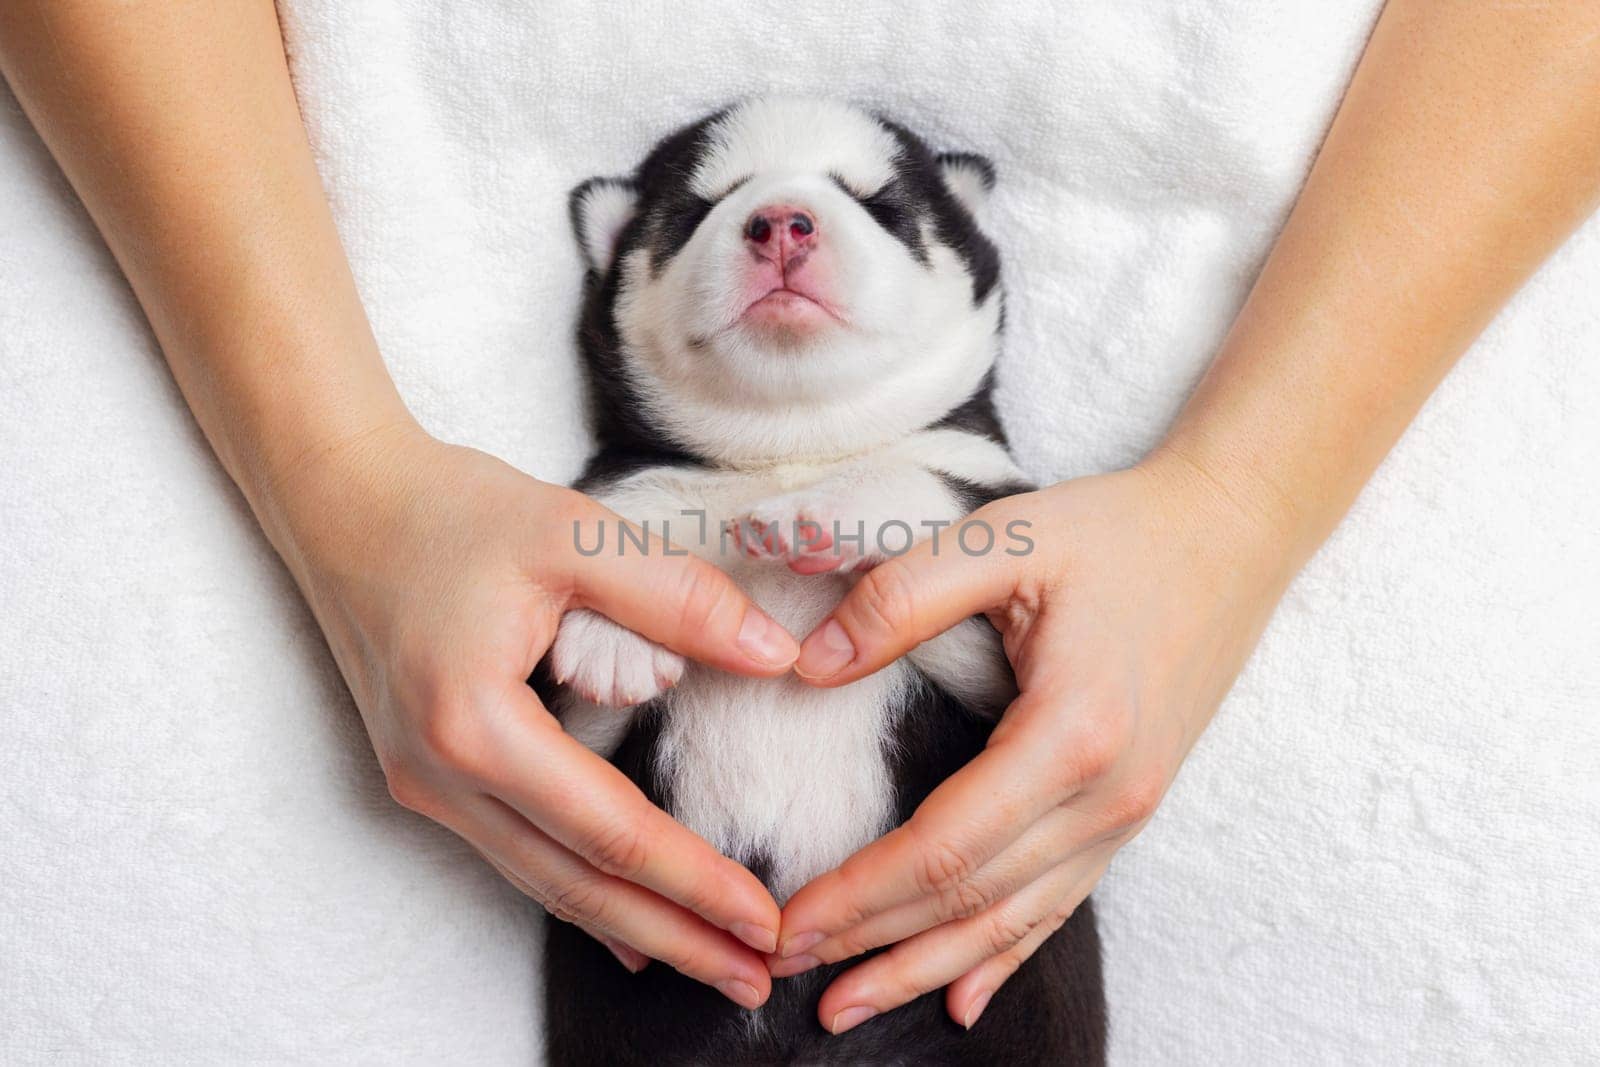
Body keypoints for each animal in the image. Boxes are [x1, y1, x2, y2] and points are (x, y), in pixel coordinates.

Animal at [544, 95, 1107, 1062]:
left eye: (881, 204)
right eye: (698, 206)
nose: (781, 220)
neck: (790, 446)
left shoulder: (1000, 660)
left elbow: (928, 483)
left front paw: (836, 505)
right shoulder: (577, 739)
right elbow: (629, 534)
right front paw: (615, 637)